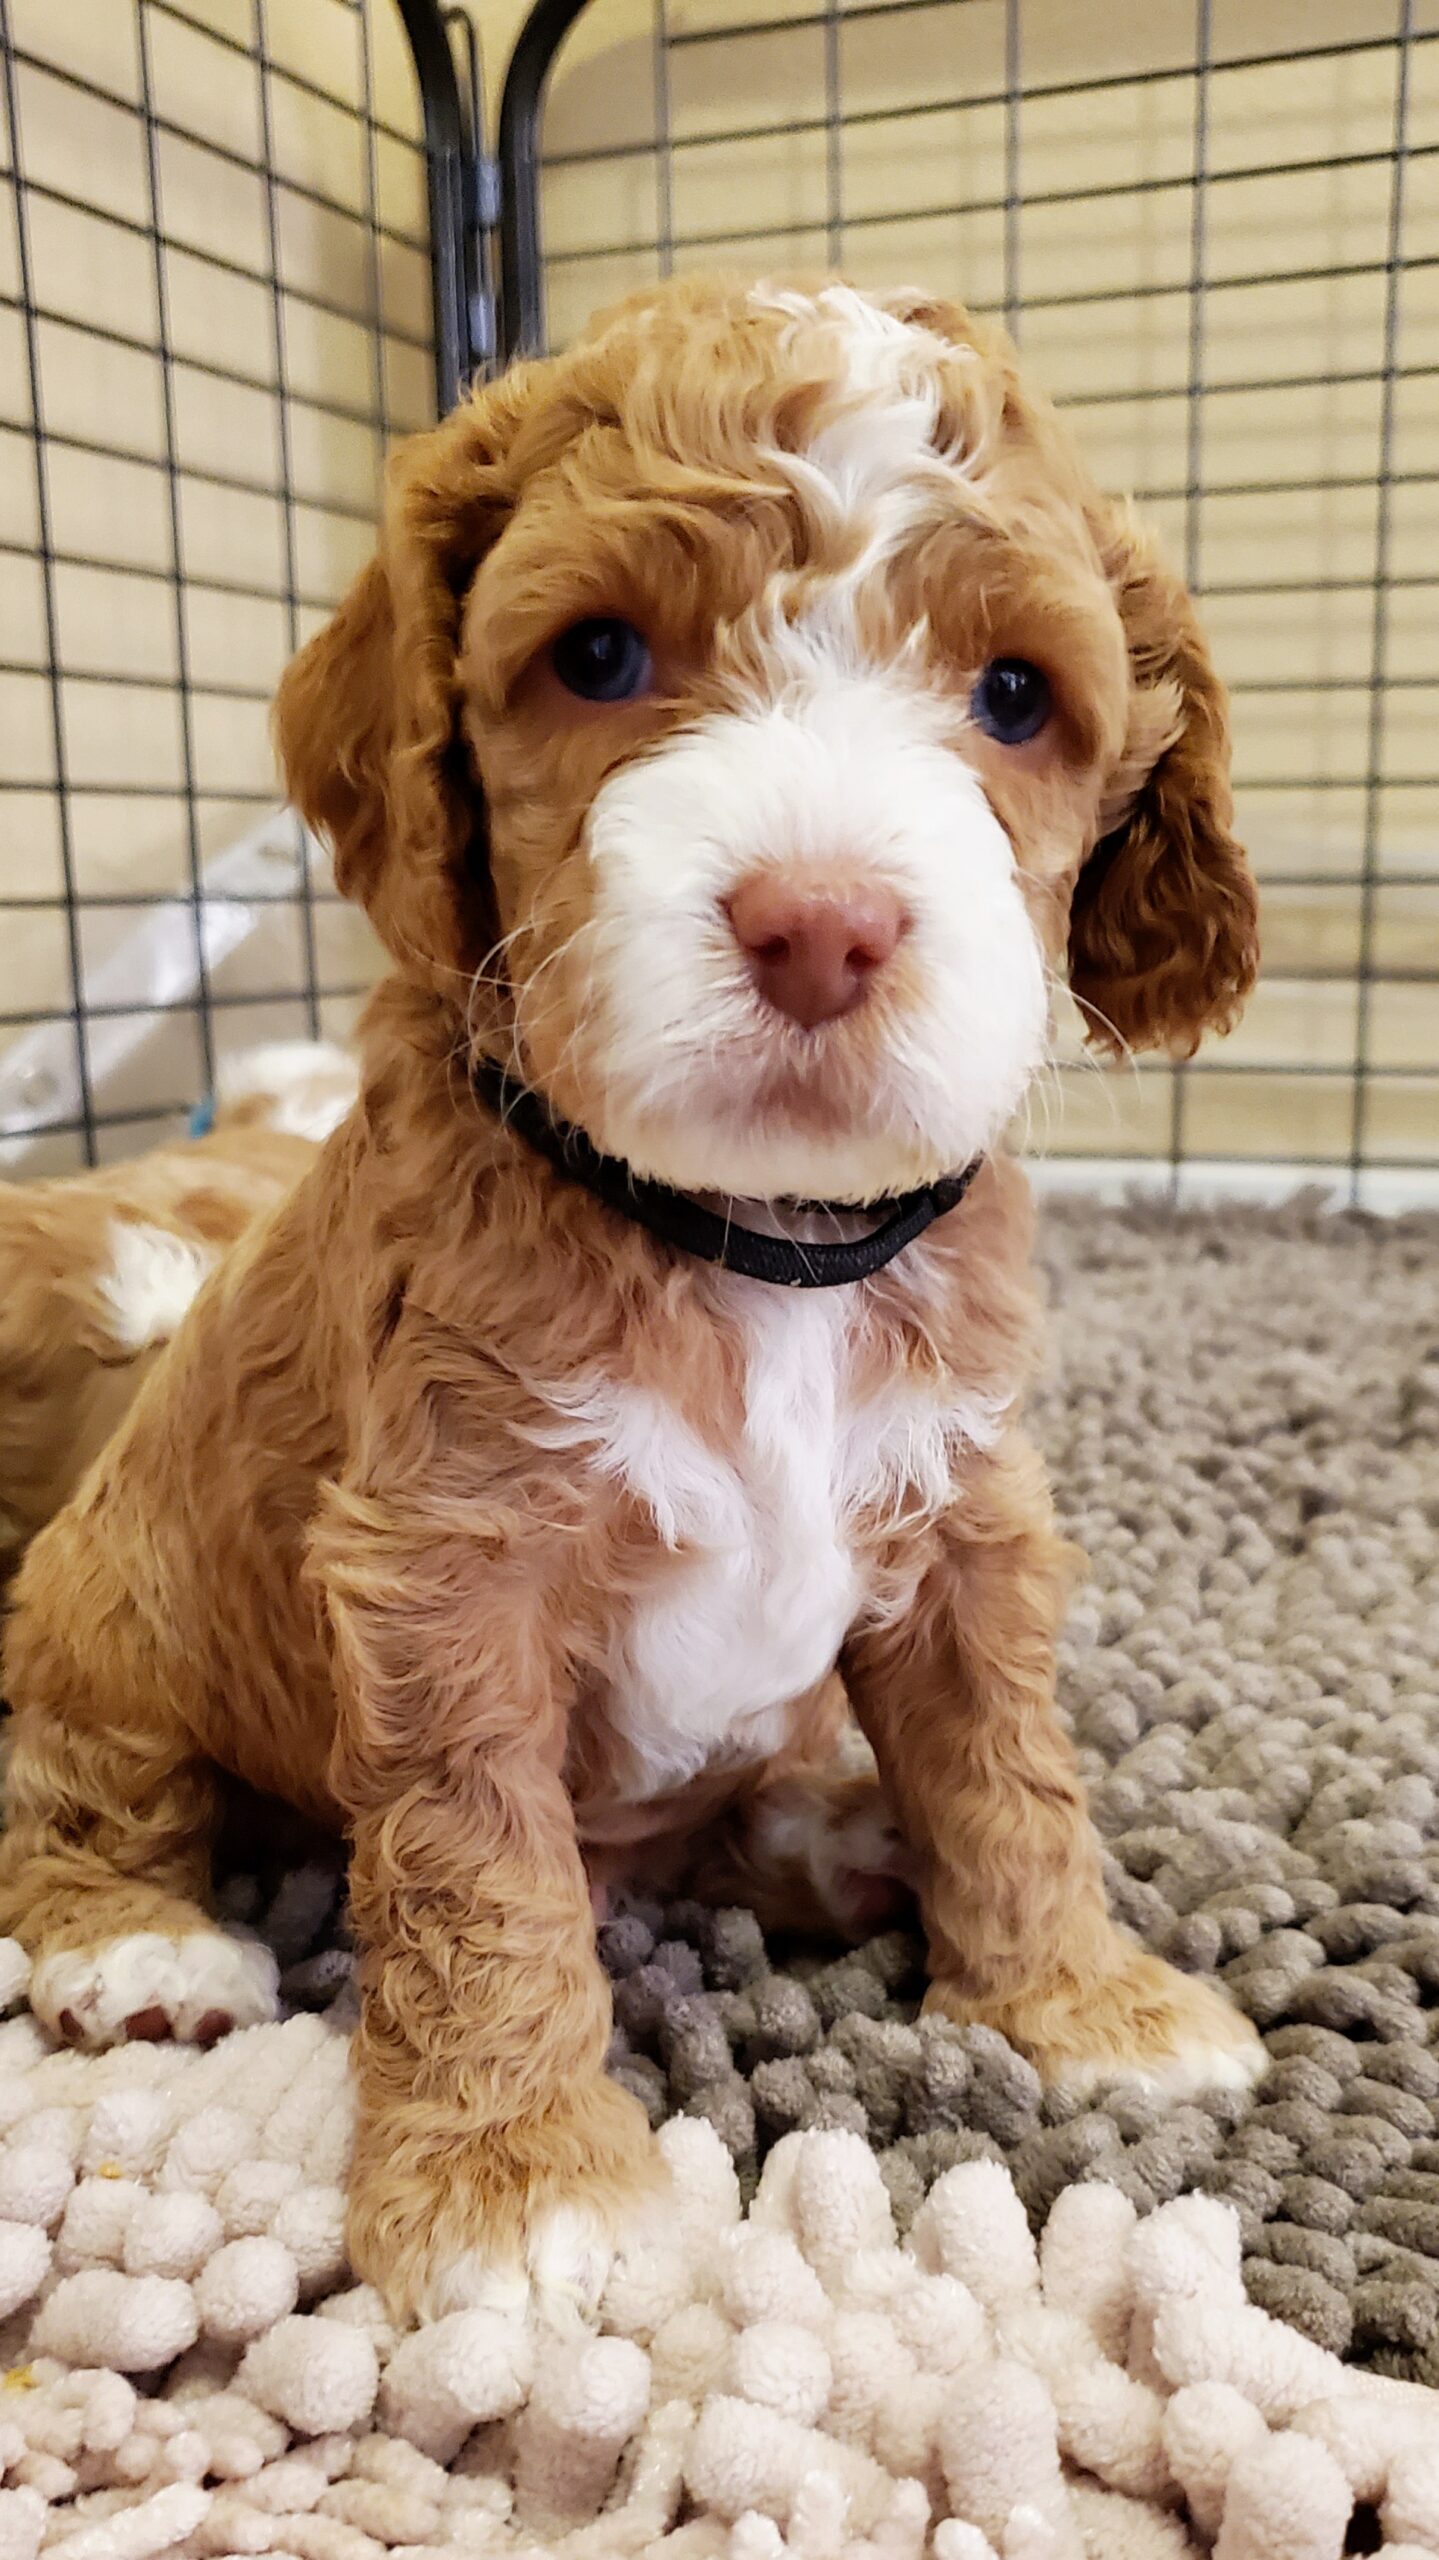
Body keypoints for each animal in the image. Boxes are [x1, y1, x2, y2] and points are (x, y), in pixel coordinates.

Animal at [0, 277, 1264, 2325]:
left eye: (1013, 697)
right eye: (595, 656)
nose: (821, 923)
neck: (751, 1241)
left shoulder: (968, 1518)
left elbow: (1010, 1769)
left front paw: (1078, 2005)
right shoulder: (445, 1567)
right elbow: (479, 1869)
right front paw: (518, 2187)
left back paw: (833, 1828)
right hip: (120, 1605)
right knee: (87, 1774)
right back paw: (139, 1948)